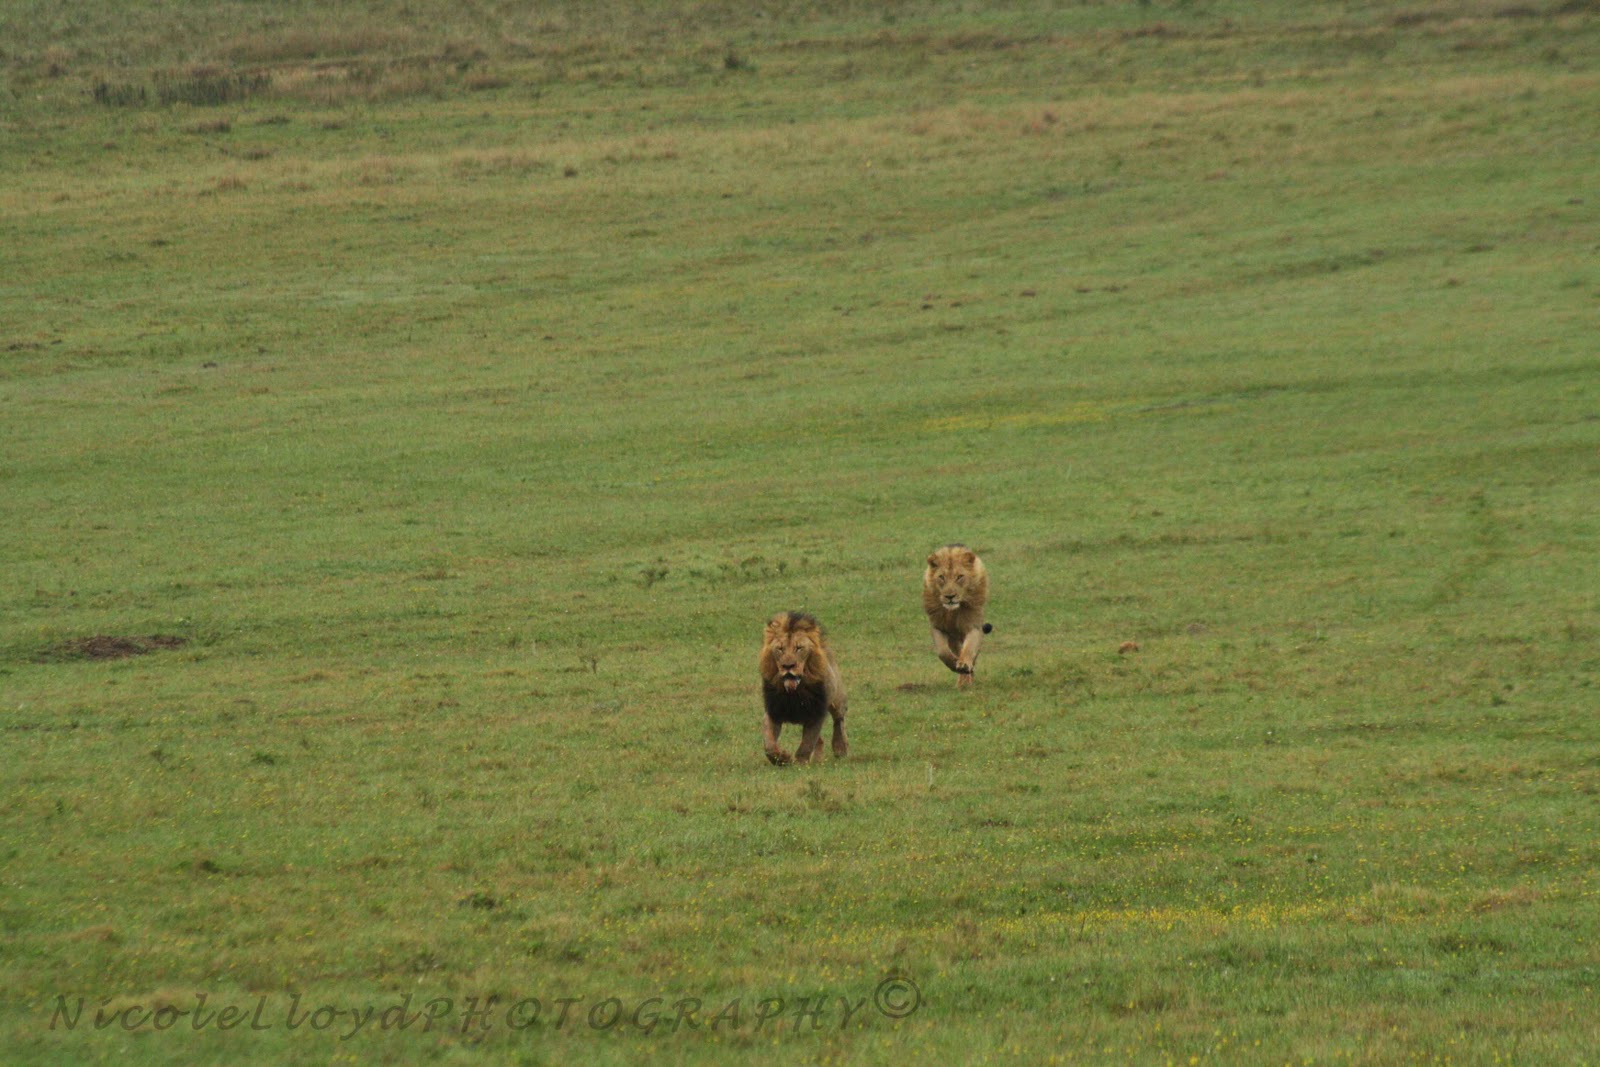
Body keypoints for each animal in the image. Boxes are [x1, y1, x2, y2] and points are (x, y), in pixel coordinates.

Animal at [758, 611, 848, 766]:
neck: (794, 694)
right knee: (821, 740)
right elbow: (769, 745)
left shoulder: (816, 713)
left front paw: (800, 764)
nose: (788, 666)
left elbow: (807, 743)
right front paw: (782, 759)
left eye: (799, 648)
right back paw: (818, 760)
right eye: (780, 649)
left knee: (839, 720)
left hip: (837, 699)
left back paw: (840, 748)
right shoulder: (773, 712)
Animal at [923, 544, 992, 688]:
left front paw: (964, 665)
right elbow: (942, 652)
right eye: (941, 577)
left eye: (960, 576)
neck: (953, 611)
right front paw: (954, 664)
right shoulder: (938, 626)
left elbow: (969, 649)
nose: (950, 596)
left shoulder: (974, 625)